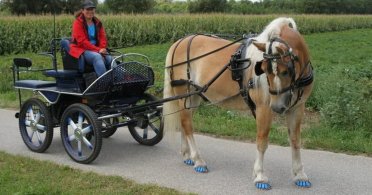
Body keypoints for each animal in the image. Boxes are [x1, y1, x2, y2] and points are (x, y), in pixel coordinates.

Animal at [163, 17, 314, 190]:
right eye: (265, 70)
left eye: (286, 71)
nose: (277, 107)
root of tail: (180, 42)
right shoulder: (264, 108)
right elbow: (262, 141)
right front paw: (260, 176)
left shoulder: (297, 108)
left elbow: (295, 141)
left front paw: (300, 175)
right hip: (184, 95)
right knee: (187, 125)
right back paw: (198, 160)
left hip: (193, 97)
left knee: (184, 122)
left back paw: (187, 156)